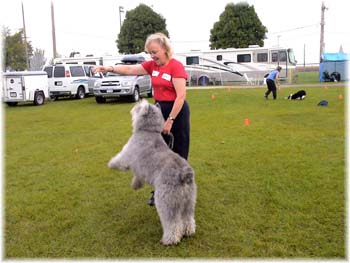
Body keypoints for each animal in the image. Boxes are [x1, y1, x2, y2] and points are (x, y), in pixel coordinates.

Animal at [108, 100, 196, 246]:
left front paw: (110, 164)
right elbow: (137, 177)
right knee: (188, 219)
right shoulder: (139, 169)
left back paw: (169, 240)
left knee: (172, 224)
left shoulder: (127, 154)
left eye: (139, 106)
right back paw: (188, 232)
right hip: (188, 203)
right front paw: (135, 185)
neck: (148, 131)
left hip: (166, 203)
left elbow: (119, 160)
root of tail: (183, 174)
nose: (137, 102)